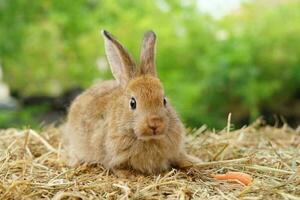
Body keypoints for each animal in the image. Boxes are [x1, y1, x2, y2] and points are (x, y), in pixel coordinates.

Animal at [61, 29, 202, 177]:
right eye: (132, 103)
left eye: (164, 101)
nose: (155, 123)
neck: (148, 139)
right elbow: (119, 167)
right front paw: (131, 176)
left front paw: (195, 163)